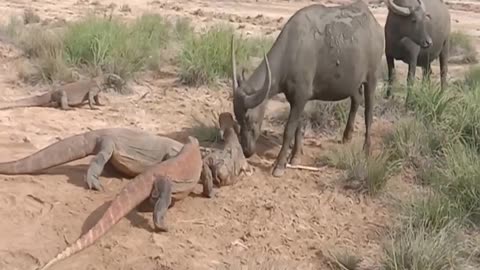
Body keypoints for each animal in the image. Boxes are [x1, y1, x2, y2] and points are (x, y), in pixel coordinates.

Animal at [231, 0, 384, 177]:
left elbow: (289, 130)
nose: (246, 151)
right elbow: (299, 128)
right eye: (237, 117)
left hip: (371, 79)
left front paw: (280, 165)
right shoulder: (297, 100)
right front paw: (295, 156)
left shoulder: (300, 99)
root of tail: (374, 24)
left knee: (369, 113)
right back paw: (347, 136)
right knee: (356, 100)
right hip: (353, 83)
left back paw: (366, 148)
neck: (292, 50)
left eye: (249, 118)